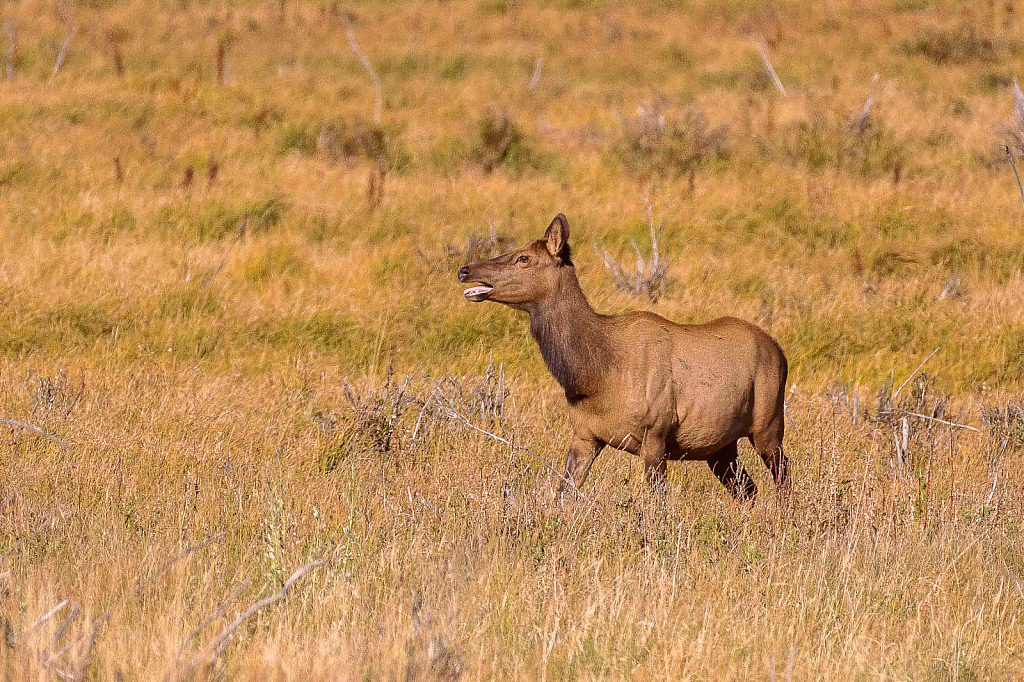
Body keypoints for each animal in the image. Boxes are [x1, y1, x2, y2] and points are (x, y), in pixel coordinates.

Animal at [458, 212, 790, 499]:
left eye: (523, 258)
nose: (465, 270)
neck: (594, 375)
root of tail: (780, 351)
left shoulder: (656, 433)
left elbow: (658, 503)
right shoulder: (585, 435)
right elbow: (564, 494)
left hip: (769, 423)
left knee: (783, 472)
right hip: (721, 446)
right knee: (748, 490)